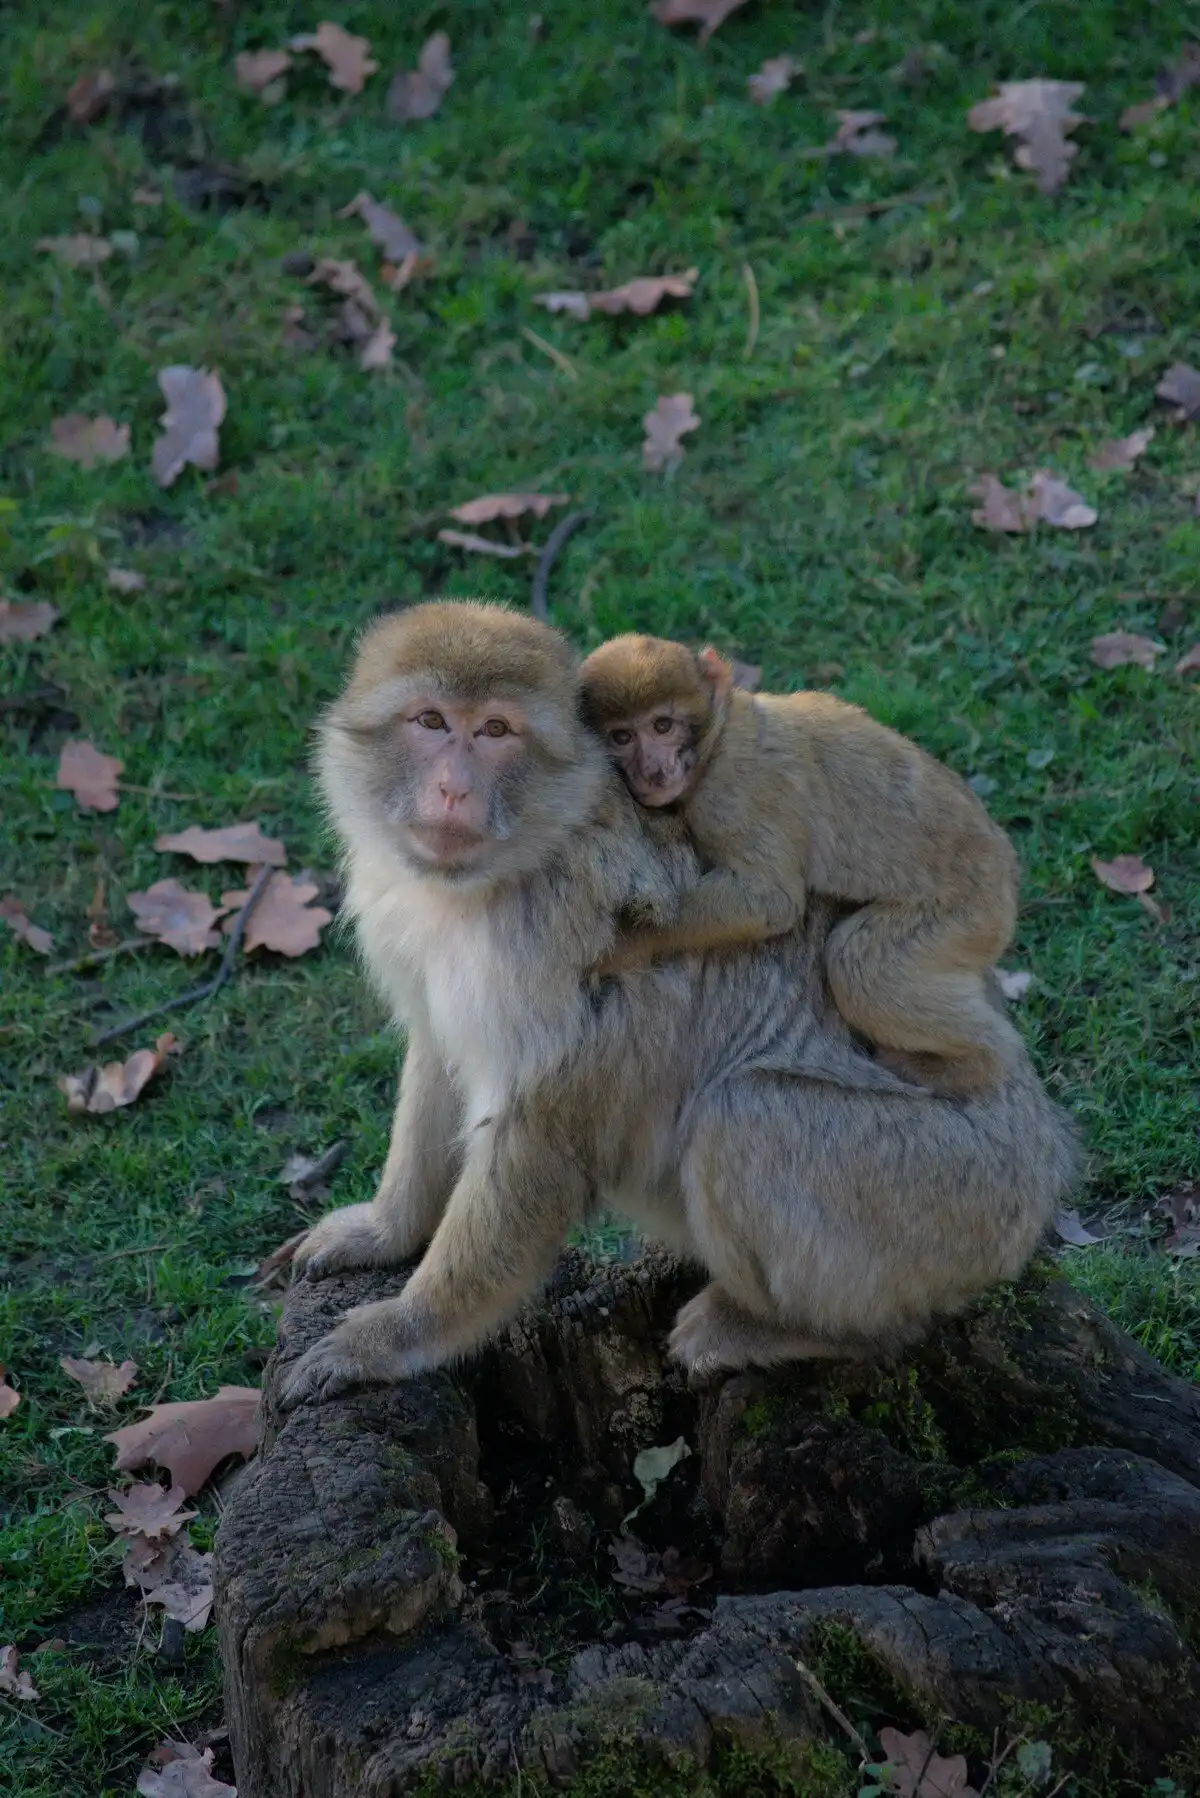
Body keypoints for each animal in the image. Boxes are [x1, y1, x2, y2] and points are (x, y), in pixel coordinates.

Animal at [579, 634, 1022, 1099]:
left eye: (662, 726)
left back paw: (975, 1061)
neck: (720, 735)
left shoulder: (732, 794)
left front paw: (623, 946)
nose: (651, 770)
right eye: (622, 736)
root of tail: (1006, 869)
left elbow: (769, 900)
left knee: (859, 966)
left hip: (966, 914)